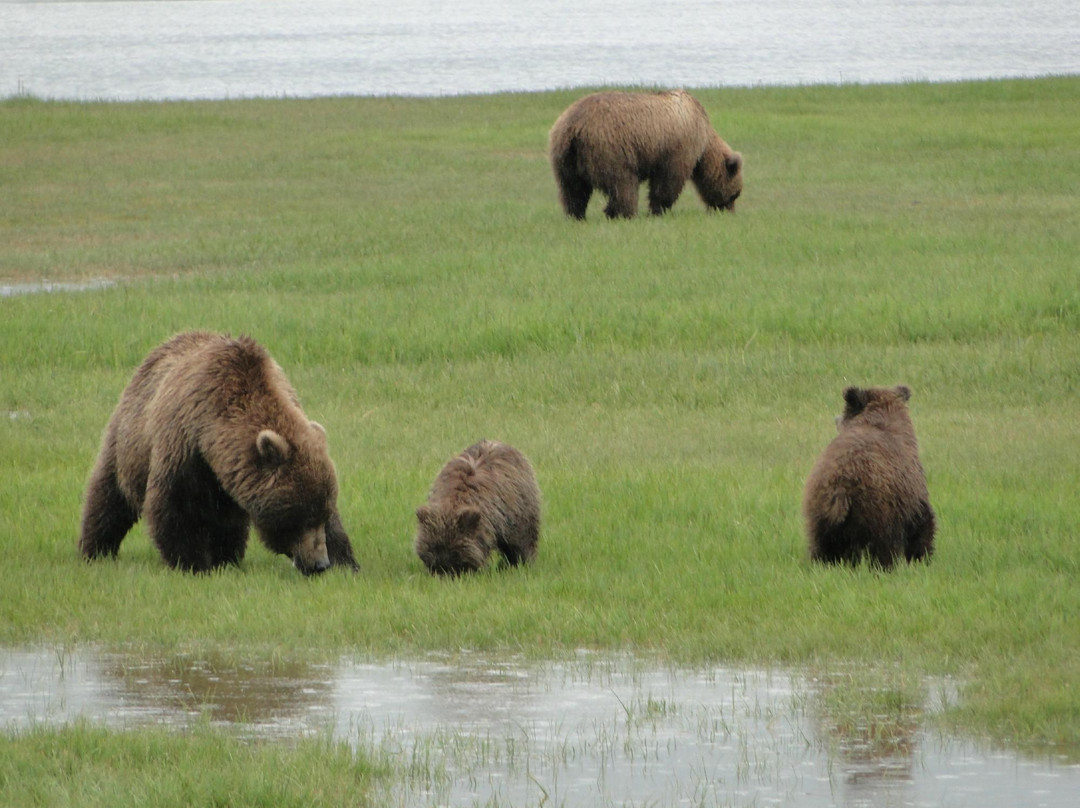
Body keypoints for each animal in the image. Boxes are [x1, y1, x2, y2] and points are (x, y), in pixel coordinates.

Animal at [78, 331, 359, 575]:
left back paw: (228, 557)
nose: (320, 564)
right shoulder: (184, 447)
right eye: (301, 515)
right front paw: (192, 563)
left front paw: (346, 563)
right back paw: (95, 549)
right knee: (109, 495)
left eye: (321, 513)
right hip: (129, 442)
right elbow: (176, 506)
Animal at [548, 89, 743, 220]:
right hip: (610, 149)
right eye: (735, 194)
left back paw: (576, 215)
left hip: (564, 157)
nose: (728, 212)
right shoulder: (678, 148)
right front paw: (658, 210)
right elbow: (668, 181)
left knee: (572, 189)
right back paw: (623, 213)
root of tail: (574, 127)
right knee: (623, 184)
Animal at [802, 385, 936, 569]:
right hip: (877, 511)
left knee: (823, 548)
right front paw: (921, 558)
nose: (835, 419)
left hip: (820, 515)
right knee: (882, 547)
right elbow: (923, 525)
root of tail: (839, 486)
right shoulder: (913, 495)